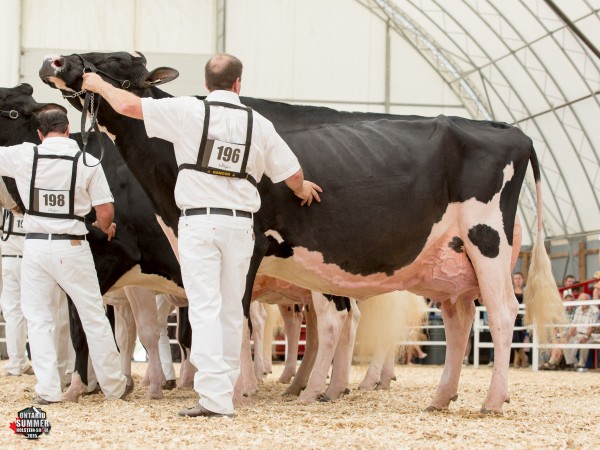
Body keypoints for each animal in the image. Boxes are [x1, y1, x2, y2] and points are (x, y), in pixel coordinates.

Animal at [39, 51, 565, 414]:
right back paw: (438, 397)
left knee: (501, 313)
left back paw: (489, 400)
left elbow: (219, 322)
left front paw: (232, 391)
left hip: (488, 242)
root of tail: (510, 130)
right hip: (448, 263)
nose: (57, 61)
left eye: (120, 63)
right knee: (458, 321)